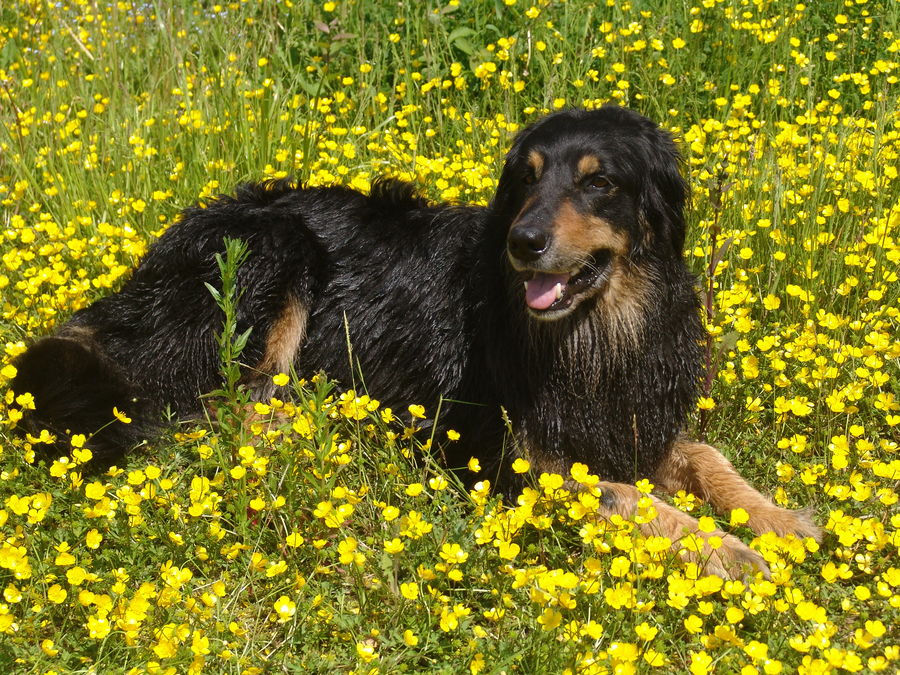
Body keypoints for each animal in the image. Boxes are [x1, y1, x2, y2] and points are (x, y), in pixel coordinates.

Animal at [14, 104, 820, 576]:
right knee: (233, 413)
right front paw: (729, 549)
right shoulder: (521, 459)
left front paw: (779, 520)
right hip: (273, 250)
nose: (523, 243)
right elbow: (628, 497)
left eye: (599, 183)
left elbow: (709, 458)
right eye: (526, 180)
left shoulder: (635, 417)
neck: (595, 325)